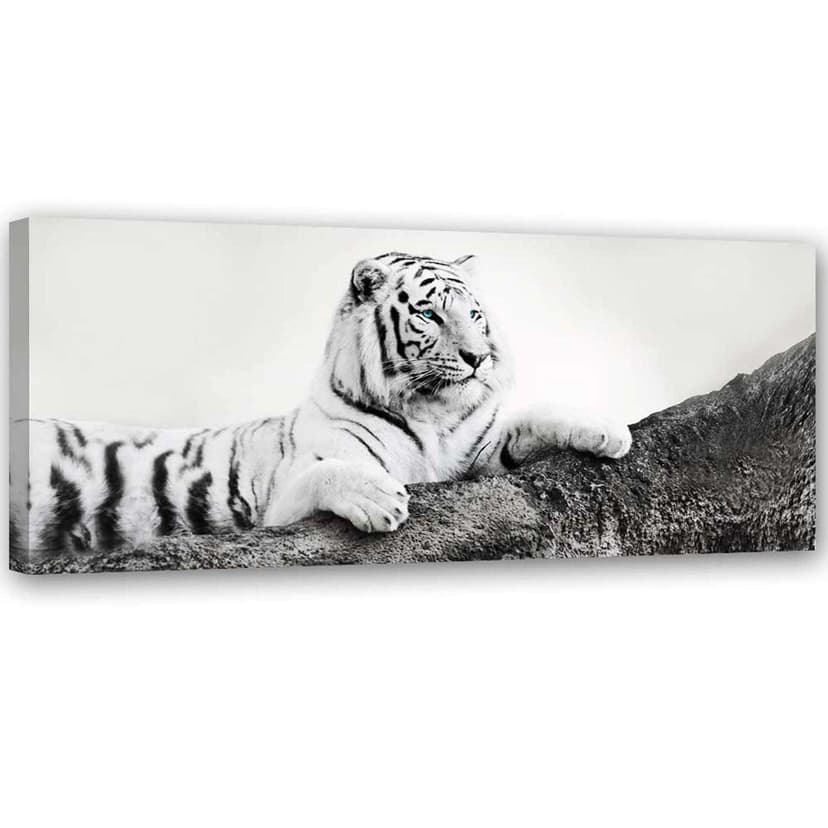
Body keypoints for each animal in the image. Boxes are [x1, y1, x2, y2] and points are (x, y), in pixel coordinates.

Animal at [9, 252, 632, 558]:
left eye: (475, 315)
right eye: (430, 314)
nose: (479, 358)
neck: (431, 412)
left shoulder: (479, 452)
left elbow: (534, 418)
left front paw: (609, 431)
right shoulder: (282, 500)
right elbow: (330, 473)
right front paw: (381, 500)